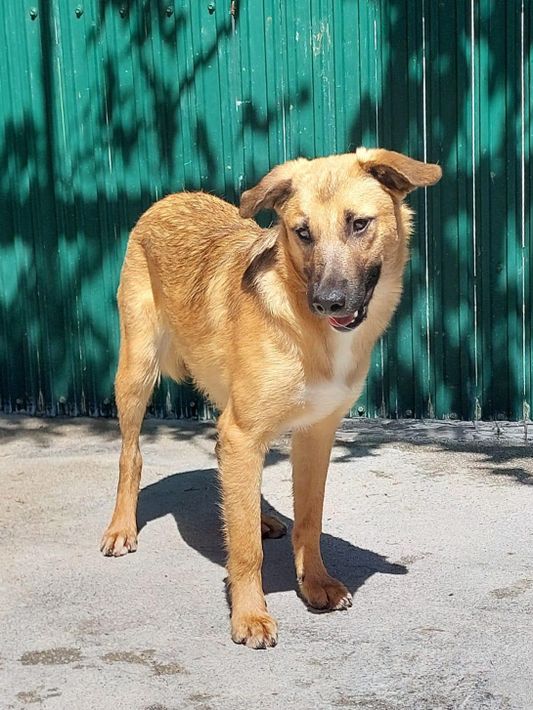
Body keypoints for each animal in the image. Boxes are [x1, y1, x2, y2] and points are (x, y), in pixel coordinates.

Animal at [100, 148, 442, 648]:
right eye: (302, 232)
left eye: (359, 224)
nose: (329, 301)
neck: (308, 327)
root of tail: (171, 198)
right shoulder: (244, 430)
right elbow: (244, 551)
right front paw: (249, 614)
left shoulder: (315, 435)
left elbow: (309, 520)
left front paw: (314, 583)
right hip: (137, 371)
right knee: (131, 455)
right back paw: (122, 527)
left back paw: (259, 515)